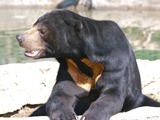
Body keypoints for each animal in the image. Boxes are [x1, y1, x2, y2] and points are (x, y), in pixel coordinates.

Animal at [15, 9, 160, 120]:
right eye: (34, 25)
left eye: (42, 31)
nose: (20, 38)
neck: (83, 58)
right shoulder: (71, 69)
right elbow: (62, 93)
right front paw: (66, 115)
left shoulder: (115, 63)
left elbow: (111, 94)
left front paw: (90, 116)